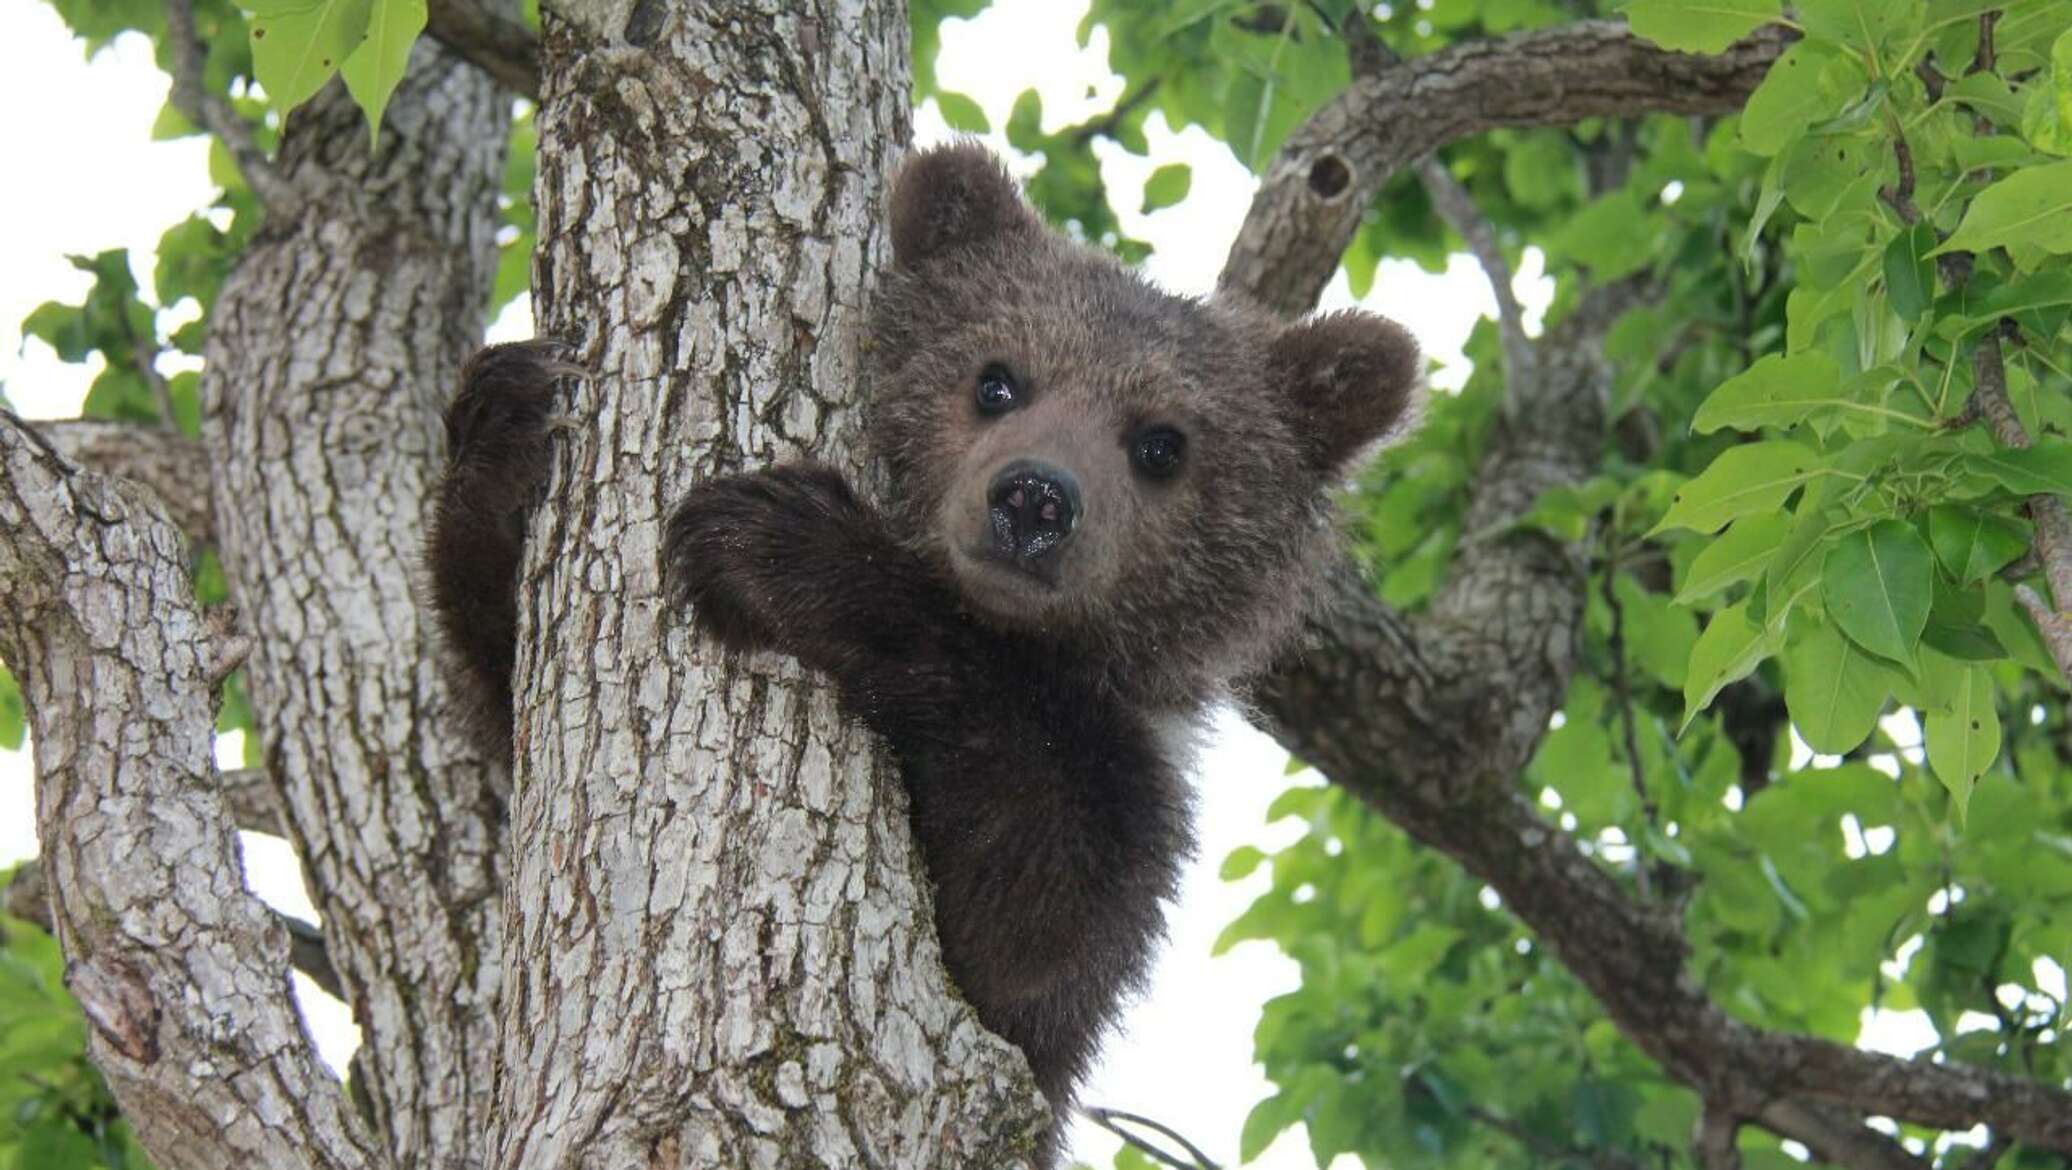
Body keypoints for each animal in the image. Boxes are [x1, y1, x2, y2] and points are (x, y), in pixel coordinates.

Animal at [426, 143, 1417, 1159]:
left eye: (1161, 443)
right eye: (997, 379)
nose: (1034, 499)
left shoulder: (1121, 840)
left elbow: (1027, 909)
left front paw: (780, 539)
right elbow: (504, 709)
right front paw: (504, 419)